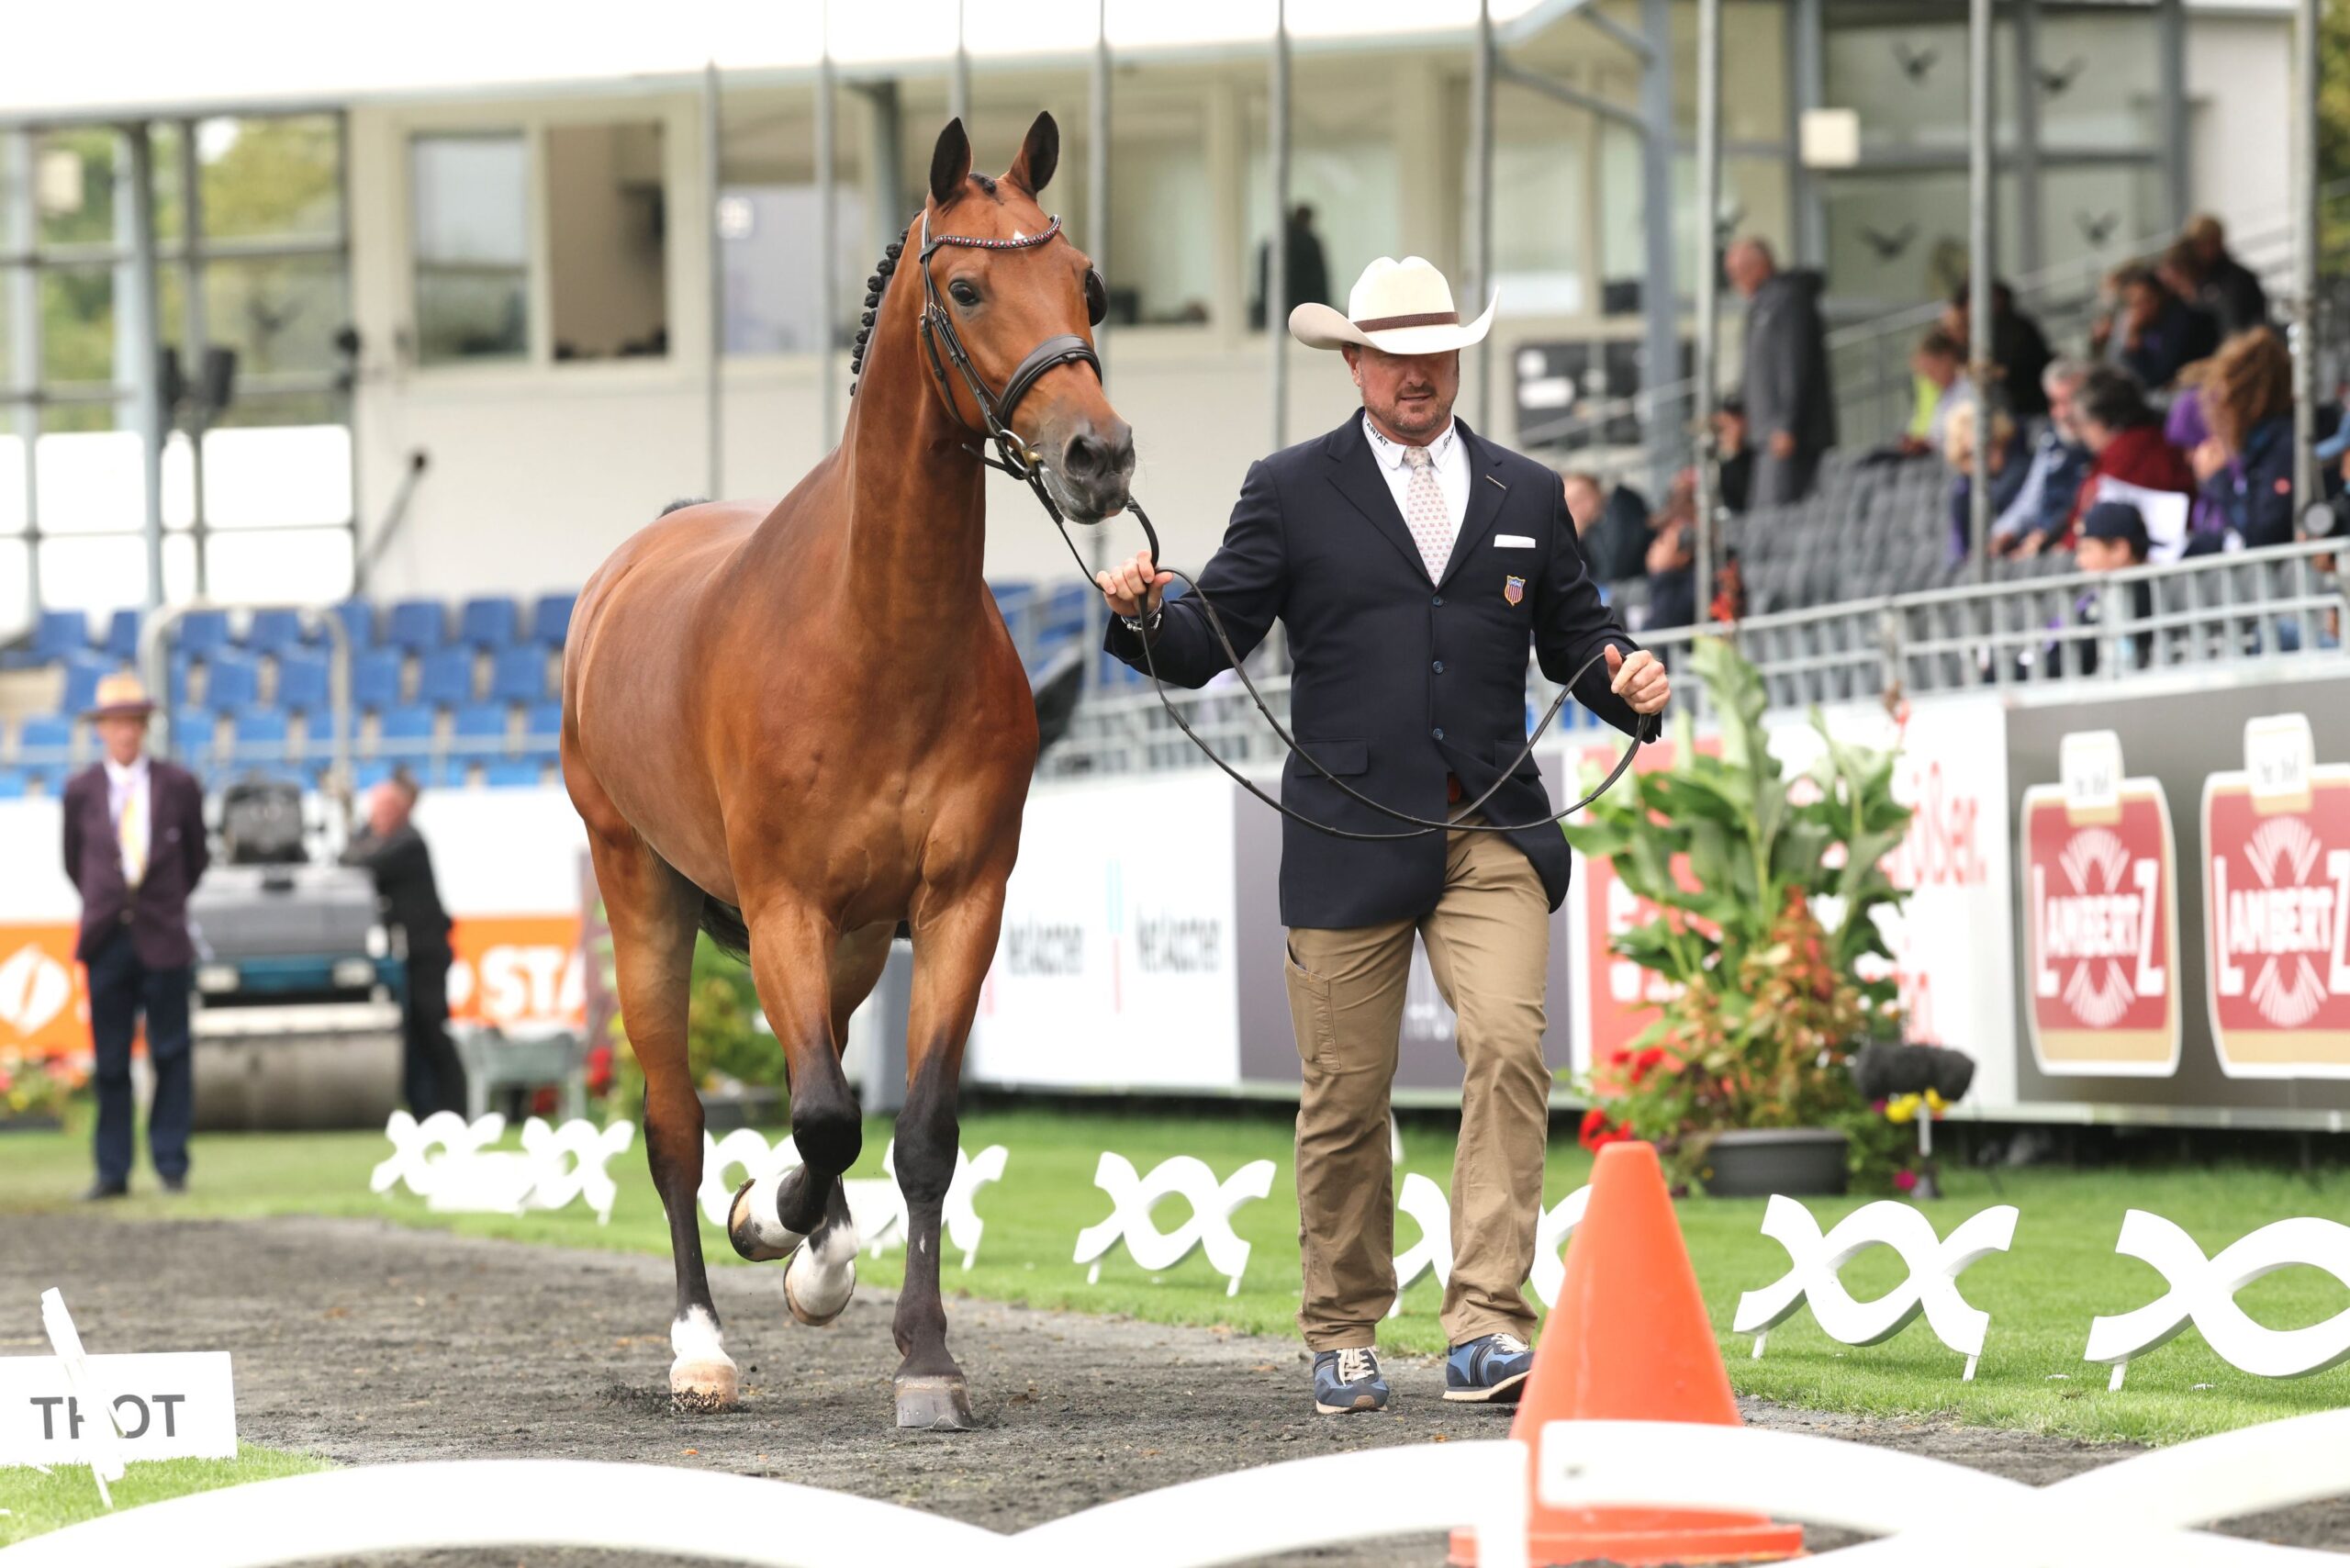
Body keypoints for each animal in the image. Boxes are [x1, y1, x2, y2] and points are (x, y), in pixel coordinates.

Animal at [561, 112, 1133, 1430]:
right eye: (967, 288)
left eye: (1085, 284)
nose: (1099, 455)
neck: (874, 637)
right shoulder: (783, 907)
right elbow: (822, 1120)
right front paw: (775, 1233)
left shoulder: (957, 904)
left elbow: (912, 1130)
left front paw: (922, 1357)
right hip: (643, 896)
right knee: (676, 1125)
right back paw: (704, 1343)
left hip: (859, 946)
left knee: (813, 1088)